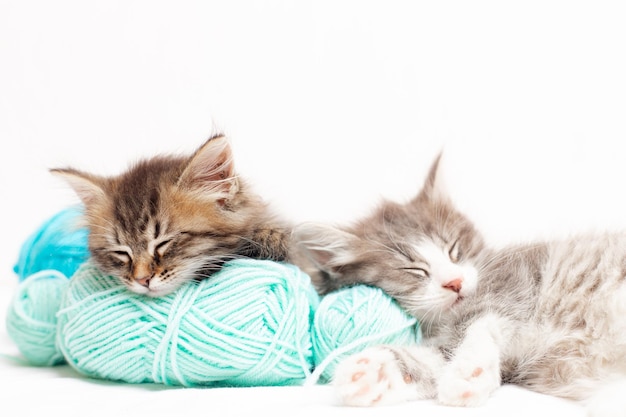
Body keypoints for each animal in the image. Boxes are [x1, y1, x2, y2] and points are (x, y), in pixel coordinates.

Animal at [294, 154, 624, 414]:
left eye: (453, 249)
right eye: (414, 269)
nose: (454, 282)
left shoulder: (517, 285)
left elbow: (478, 324)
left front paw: (469, 371)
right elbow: (432, 358)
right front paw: (373, 372)